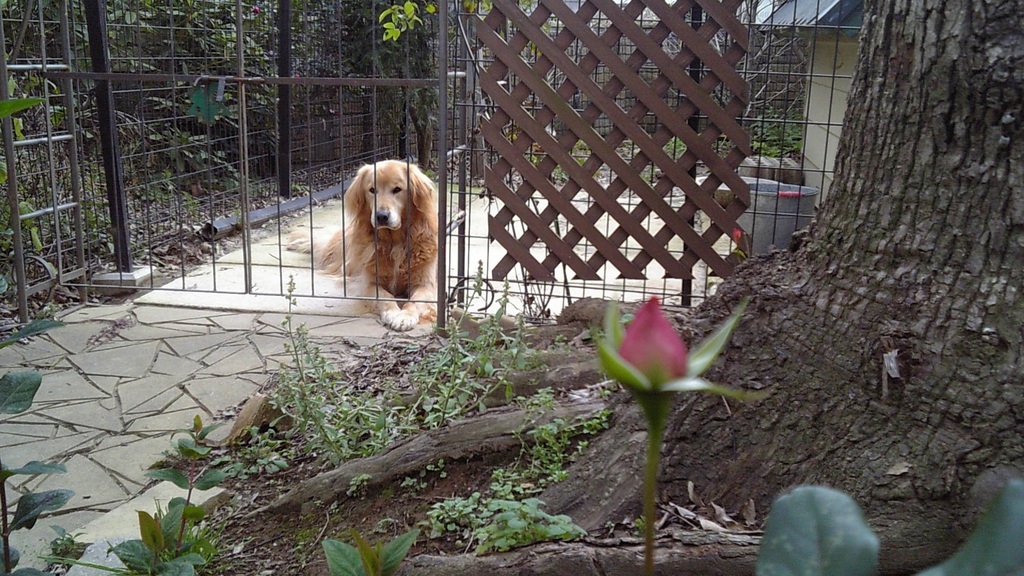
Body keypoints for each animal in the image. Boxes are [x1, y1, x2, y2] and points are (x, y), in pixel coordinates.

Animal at [288, 160, 438, 331]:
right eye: (372, 190)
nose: (381, 216)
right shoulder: (369, 284)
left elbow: (415, 300)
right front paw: (393, 312)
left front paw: (405, 316)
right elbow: (386, 296)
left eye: (397, 189)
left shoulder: (426, 284)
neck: (395, 242)